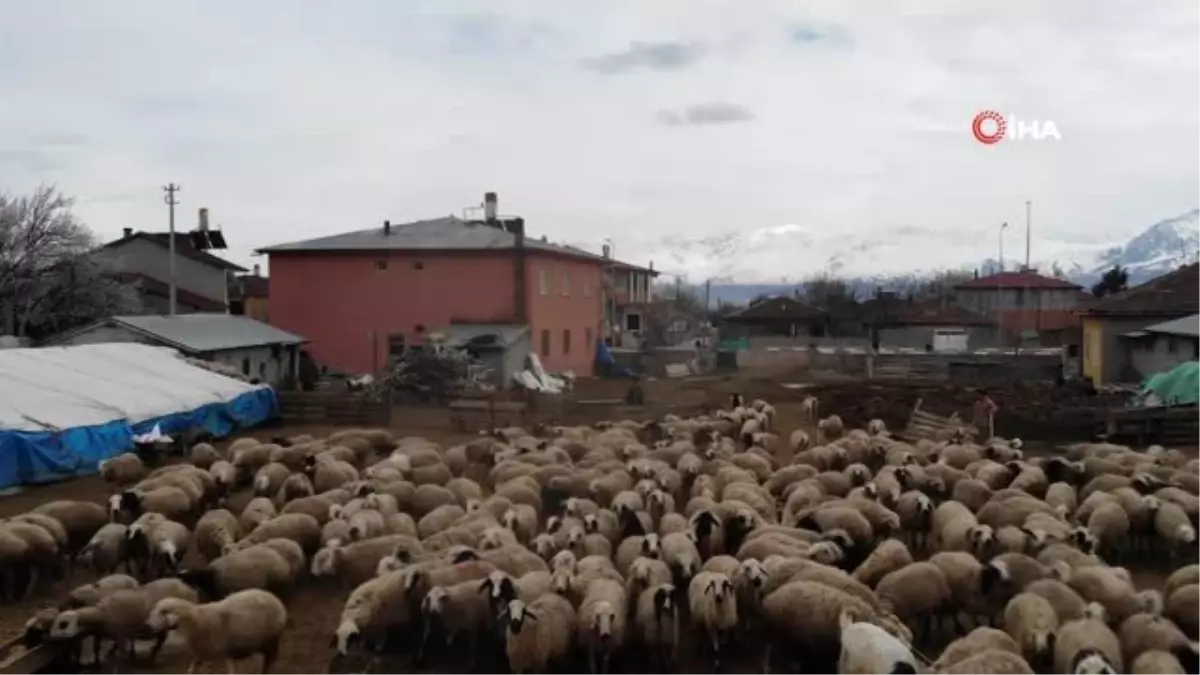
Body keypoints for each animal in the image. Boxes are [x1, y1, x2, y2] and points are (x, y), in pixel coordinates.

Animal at [145, 586, 283, 667]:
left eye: (161, 613)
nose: (148, 625)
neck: (196, 620)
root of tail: (273, 597)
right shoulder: (203, 655)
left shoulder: (223, 653)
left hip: (268, 640)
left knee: (268, 660)